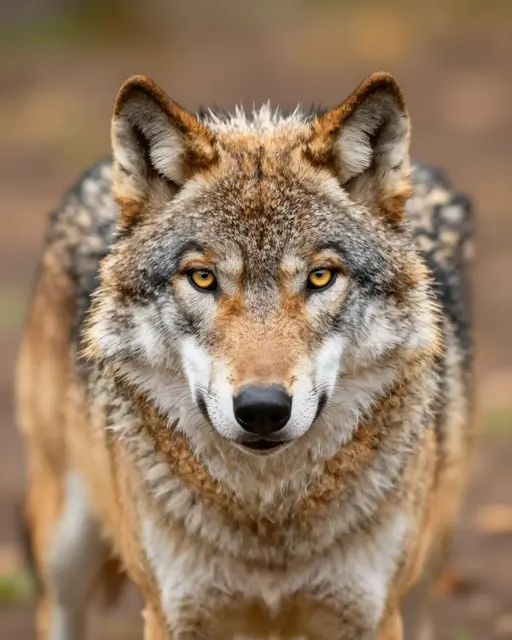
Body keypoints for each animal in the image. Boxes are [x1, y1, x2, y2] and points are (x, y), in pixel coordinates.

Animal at [16, 72, 474, 639]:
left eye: (320, 276)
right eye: (202, 277)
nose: (261, 409)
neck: (267, 521)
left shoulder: (371, 614)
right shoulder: (172, 614)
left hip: (421, 580)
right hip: (65, 550)